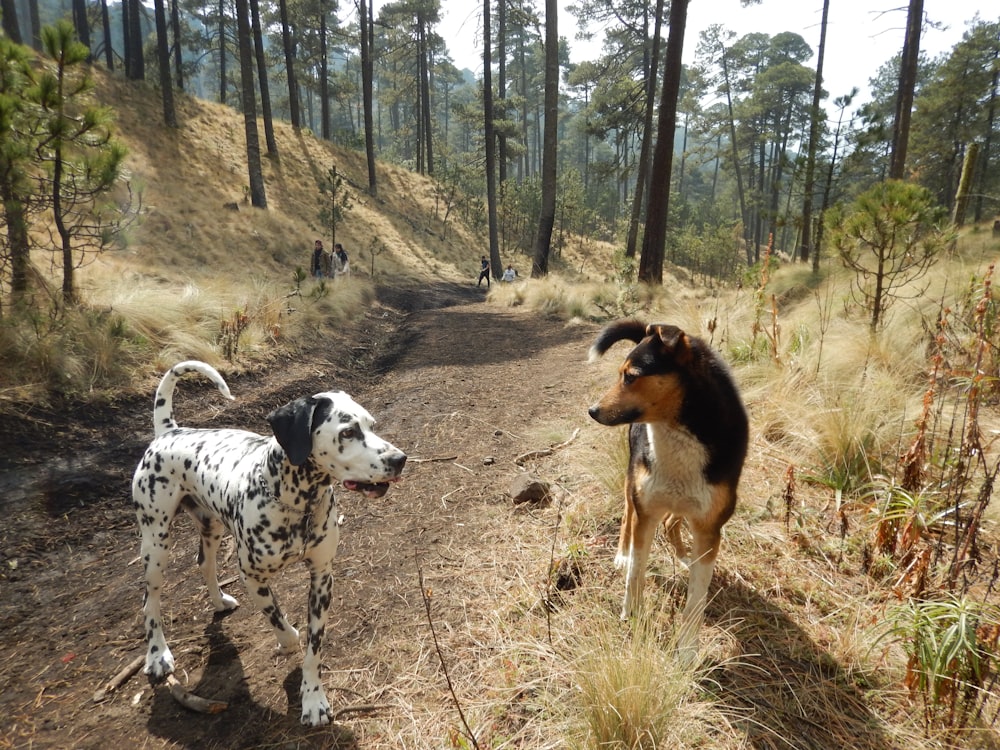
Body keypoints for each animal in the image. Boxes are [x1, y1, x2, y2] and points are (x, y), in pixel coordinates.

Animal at [133, 362, 406, 724]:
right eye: (348, 432)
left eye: (371, 425)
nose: (400, 459)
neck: (296, 503)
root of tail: (169, 432)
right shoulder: (252, 576)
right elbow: (280, 622)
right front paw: (287, 642)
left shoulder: (322, 577)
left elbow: (313, 649)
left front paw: (313, 698)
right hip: (155, 543)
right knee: (150, 602)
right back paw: (157, 655)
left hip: (210, 527)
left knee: (204, 563)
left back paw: (218, 601)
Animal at [588, 320, 748, 660]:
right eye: (620, 373)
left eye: (630, 376)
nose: (592, 410)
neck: (676, 433)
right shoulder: (645, 511)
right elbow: (636, 572)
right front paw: (632, 614)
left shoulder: (709, 527)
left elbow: (696, 600)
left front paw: (687, 650)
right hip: (632, 485)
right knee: (628, 515)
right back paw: (622, 554)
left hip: (685, 504)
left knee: (673, 522)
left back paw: (683, 555)